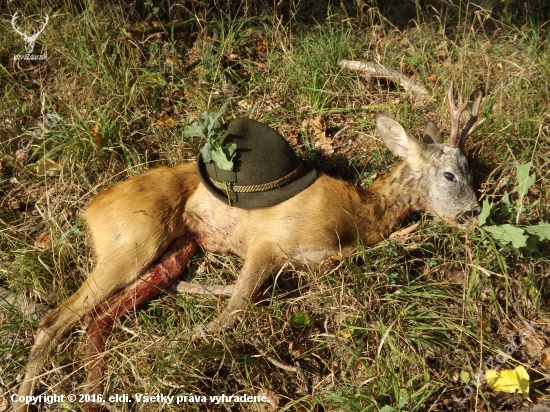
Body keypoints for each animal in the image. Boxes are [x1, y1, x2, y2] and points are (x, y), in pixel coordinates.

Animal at [15, 82, 486, 410]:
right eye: (450, 175)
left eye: (471, 172)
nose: (474, 212)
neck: (359, 216)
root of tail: (90, 211)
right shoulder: (269, 241)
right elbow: (230, 313)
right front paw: (175, 344)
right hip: (133, 240)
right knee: (54, 320)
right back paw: (25, 399)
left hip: (175, 250)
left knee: (96, 320)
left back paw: (95, 393)